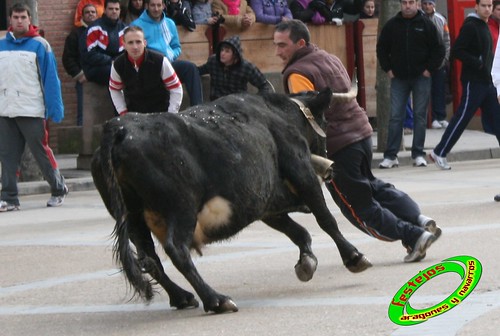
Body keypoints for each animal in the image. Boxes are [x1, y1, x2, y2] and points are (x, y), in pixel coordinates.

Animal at [91, 88, 372, 314]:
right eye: (326, 121)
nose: (329, 168)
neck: (278, 113)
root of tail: (120, 127)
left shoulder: (265, 204)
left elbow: (298, 231)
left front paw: (306, 262)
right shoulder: (302, 172)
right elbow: (326, 219)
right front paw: (354, 256)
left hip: (134, 218)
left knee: (149, 259)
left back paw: (182, 297)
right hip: (182, 208)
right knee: (175, 249)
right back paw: (216, 300)